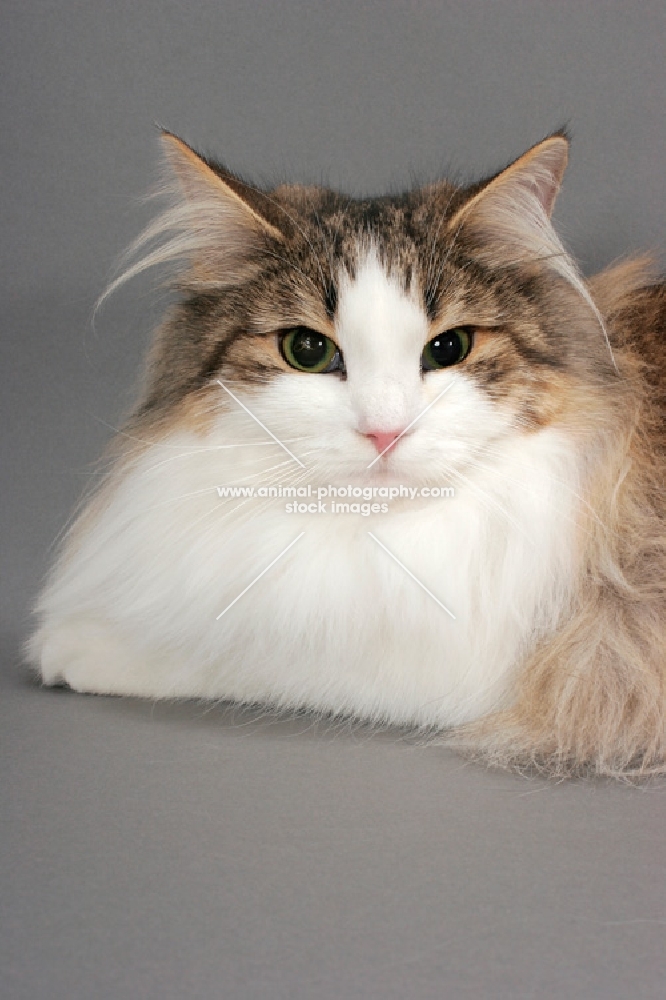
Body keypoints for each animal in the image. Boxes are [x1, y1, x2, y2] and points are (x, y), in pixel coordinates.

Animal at [28, 127, 664, 780]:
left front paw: (77, 646)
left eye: (449, 348)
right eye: (306, 350)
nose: (385, 432)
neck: (371, 537)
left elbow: (255, 653)